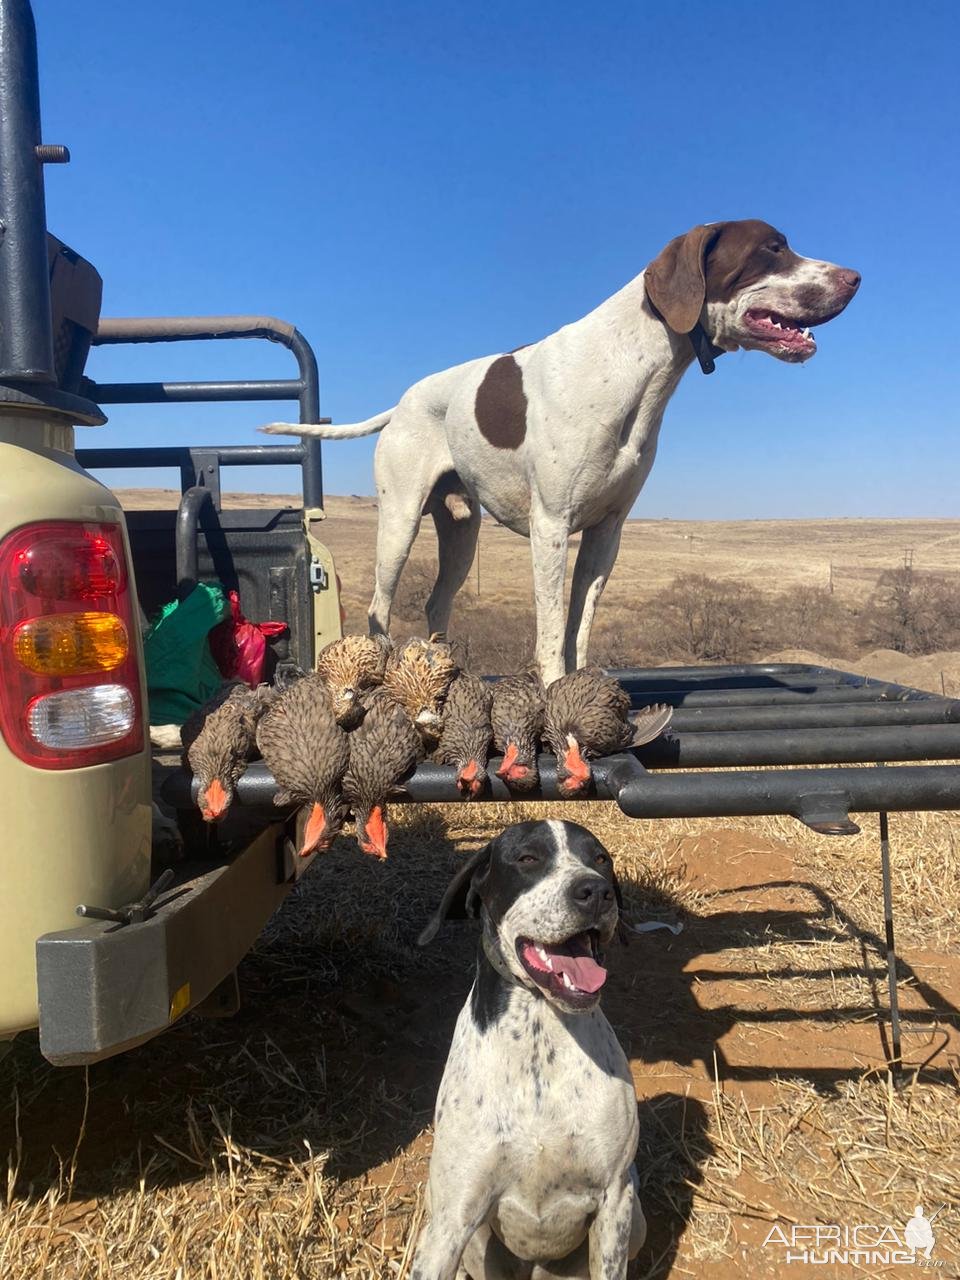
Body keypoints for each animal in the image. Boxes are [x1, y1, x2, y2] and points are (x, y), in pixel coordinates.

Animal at [264, 220, 865, 686]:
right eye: (772, 248)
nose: (856, 278)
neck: (633, 364)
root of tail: (402, 403)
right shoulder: (551, 527)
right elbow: (553, 628)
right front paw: (555, 692)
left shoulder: (606, 533)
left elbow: (581, 625)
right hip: (399, 524)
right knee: (379, 607)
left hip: (462, 533)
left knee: (437, 601)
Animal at [414, 819, 647, 1280]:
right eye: (527, 858)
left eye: (601, 859)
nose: (596, 891)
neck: (541, 1033)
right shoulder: (450, 1221)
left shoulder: (615, 1197)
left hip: (637, 1219)